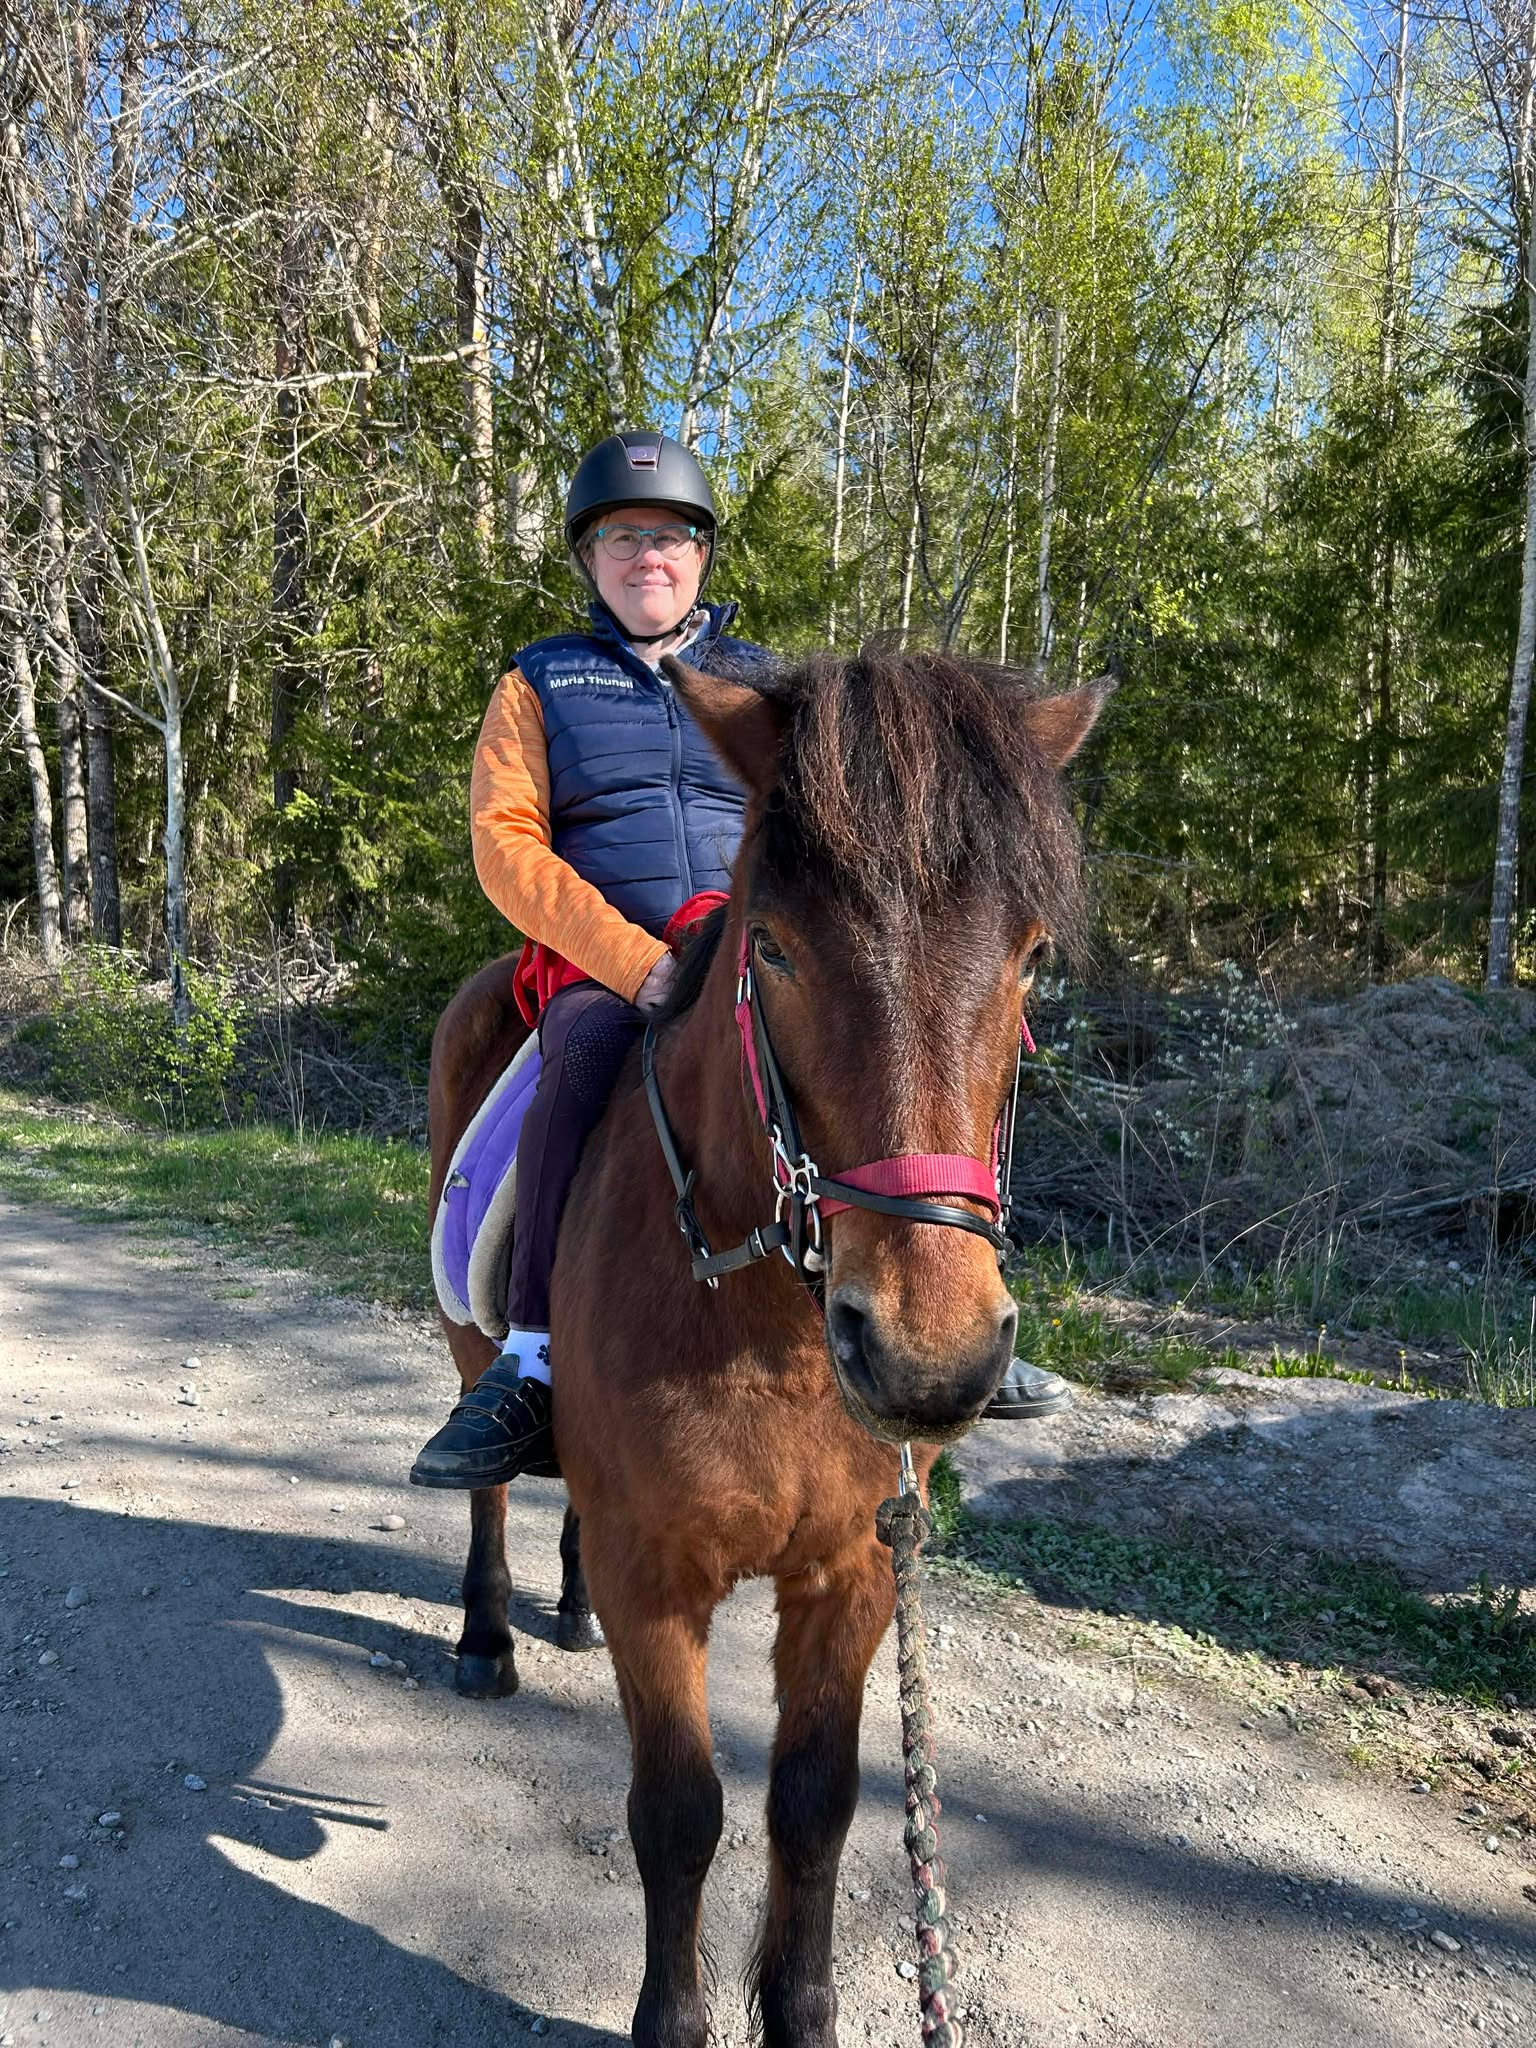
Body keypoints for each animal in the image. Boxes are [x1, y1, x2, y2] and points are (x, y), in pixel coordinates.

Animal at [426, 645, 1107, 2047]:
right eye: (777, 949)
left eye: (1026, 956)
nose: (925, 1357)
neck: (767, 1324)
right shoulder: (658, 1578)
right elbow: (680, 1812)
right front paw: (673, 2020)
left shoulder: (852, 1573)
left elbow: (816, 1804)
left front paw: (801, 2013)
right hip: (472, 1349)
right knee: (490, 1482)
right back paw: (489, 1633)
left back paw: (564, 1609)